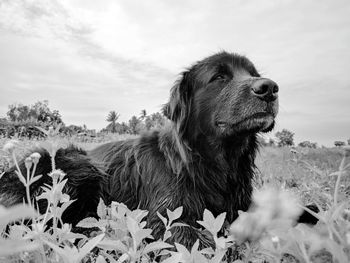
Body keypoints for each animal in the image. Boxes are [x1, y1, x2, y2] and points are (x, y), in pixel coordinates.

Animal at [0, 51, 314, 248]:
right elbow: (208, 241)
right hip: (76, 162)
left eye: (253, 73)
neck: (208, 161)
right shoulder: (162, 219)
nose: (269, 88)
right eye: (219, 77)